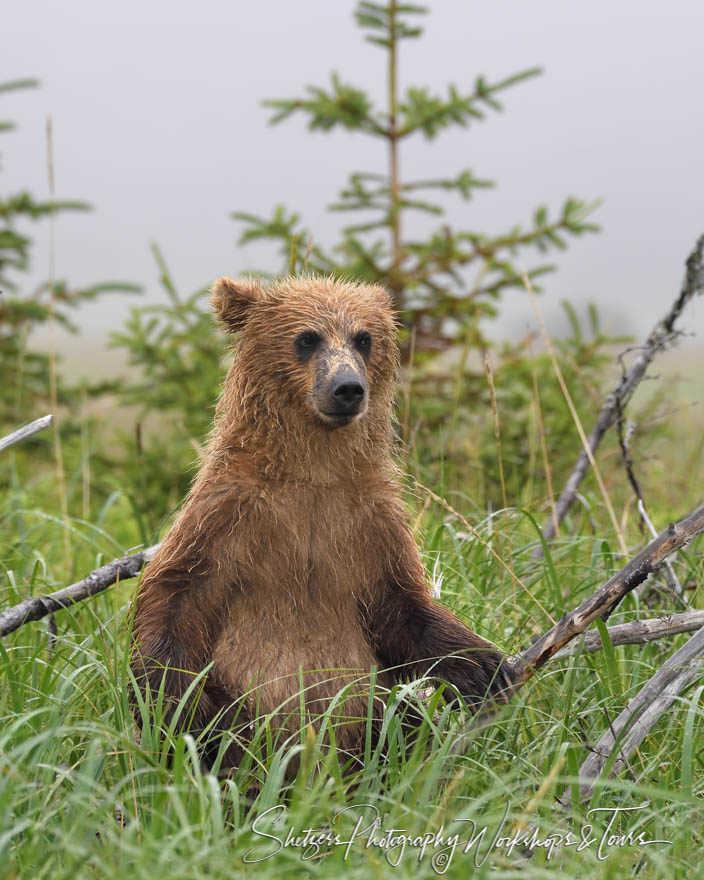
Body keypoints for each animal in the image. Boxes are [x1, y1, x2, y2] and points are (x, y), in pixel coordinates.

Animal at [129, 276, 508, 768]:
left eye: (364, 338)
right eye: (307, 338)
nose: (347, 388)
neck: (313, 474)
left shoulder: (369, 524)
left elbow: (403, 606)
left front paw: (485, 666)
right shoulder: (228, 515)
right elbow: (176, 591)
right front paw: (171, 700)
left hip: (369, 711)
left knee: (401, 720)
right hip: (245, 720)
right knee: (228, 738)